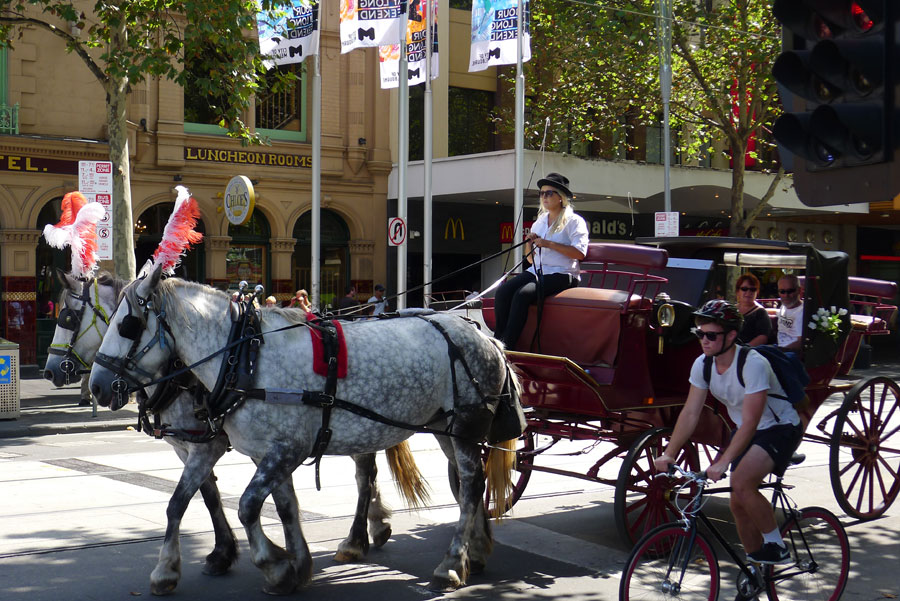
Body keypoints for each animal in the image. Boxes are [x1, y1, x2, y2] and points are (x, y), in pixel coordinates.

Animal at [91, 268, 520, 596]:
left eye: (128, 324)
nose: (95, 386)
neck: (243, 358)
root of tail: (483, 335)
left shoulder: (281, 450)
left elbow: (247, 506)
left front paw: (274, 566)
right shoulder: (263, 453)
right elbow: (269, 506)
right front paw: (294, 564)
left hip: (466, 427)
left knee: (469, 485)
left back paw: (451, 563)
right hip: (444, 429)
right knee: (462, 483)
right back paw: (472, 549)